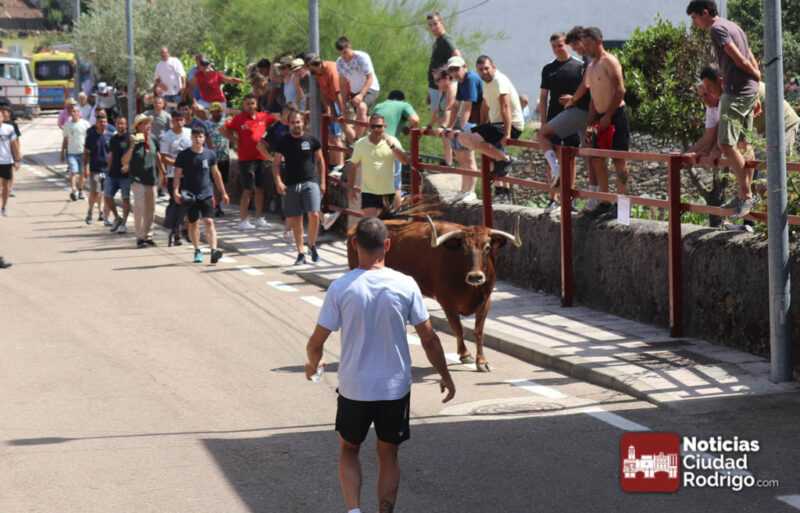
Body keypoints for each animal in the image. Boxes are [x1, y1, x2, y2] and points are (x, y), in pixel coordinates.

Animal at [347, 215, 521, 372]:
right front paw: (465, 355)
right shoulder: (447, 303)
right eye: (464, 248)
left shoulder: (486, 301)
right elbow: (458, 328)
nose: (476, 276)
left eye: (487, 247)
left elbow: (478, 332)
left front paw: (482, 362)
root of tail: (353, 229)